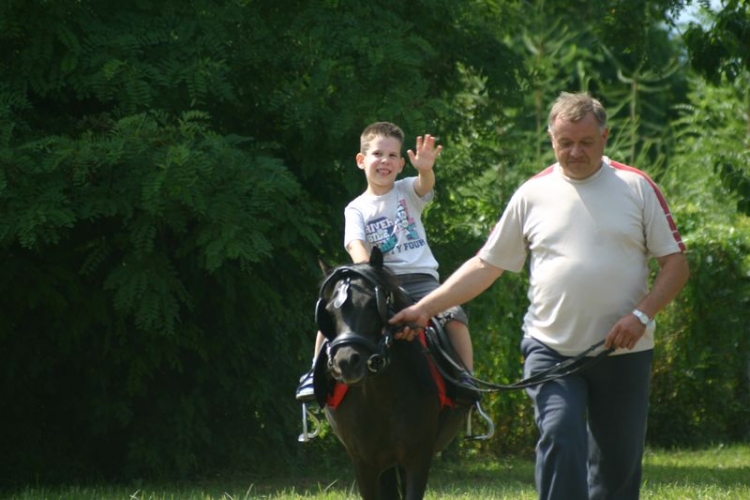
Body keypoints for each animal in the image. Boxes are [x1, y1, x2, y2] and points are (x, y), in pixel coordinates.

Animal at [312, 248, 470, 498]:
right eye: (328, 311)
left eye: (371, 304)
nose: (346, 362)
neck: (381, 396)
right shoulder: (364, 464)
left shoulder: (418, 458)